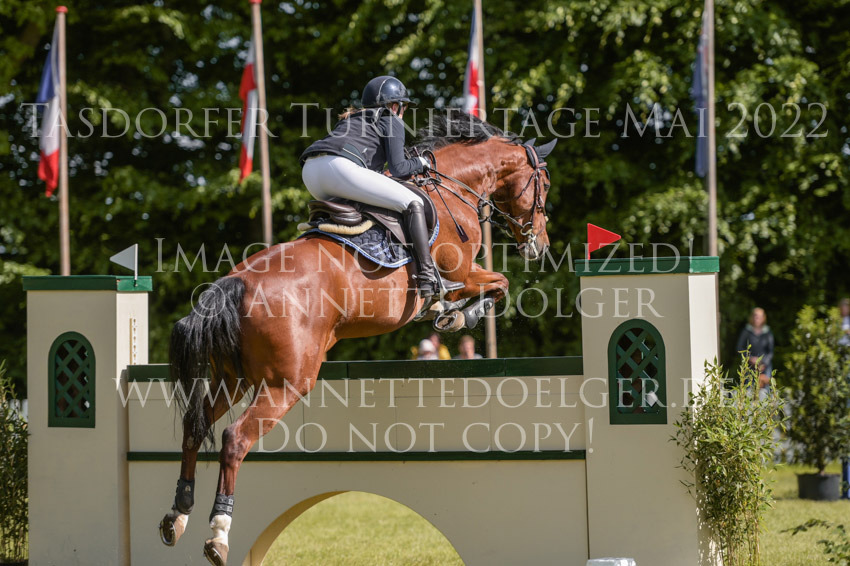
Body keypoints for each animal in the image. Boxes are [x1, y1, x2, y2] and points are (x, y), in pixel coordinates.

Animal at [158, 113, 557, 565]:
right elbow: (498, 284)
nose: (539, 246)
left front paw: (448, 313)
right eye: (544, 184)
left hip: (233, 378)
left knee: (195, 426)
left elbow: (493, 286)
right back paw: (218, 534)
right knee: (233, 439)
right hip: (285, 384)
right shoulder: (461, 271)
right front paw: (455, 315)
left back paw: (177, 517)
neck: (453, 187)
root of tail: (234, 282)